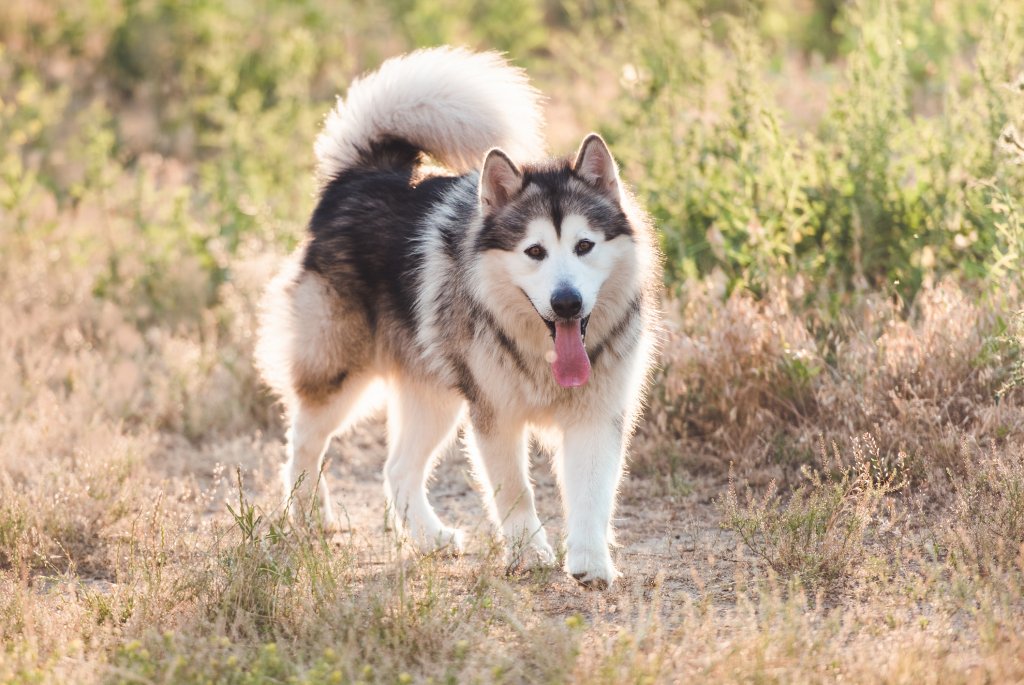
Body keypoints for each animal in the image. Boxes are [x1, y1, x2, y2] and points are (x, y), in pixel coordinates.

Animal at [251, 46, 659, 589]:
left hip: (435, 394)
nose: (567, 303)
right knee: (304, 441)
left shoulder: (597, 415)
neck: (541, 353)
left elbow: (592, 494)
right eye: (534, 251)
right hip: (339, 370)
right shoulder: (494, 415)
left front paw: (591, 561)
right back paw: (309, 516)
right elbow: (514, 490)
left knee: (397, 469)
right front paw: (528, 553)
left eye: (584, 246)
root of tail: (363, 175)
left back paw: (429, 538)